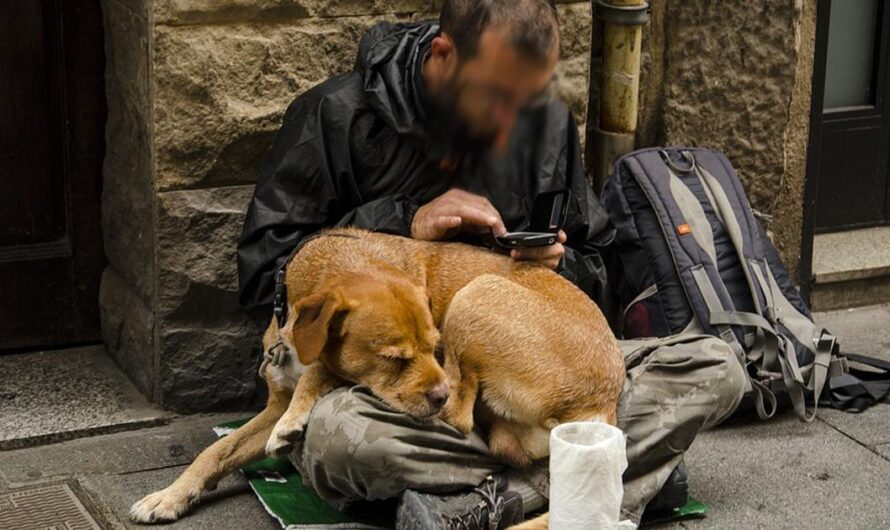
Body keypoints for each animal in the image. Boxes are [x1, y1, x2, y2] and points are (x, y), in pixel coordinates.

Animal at [128, 226, 620, 524]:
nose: (437, 393)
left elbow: (321, 372)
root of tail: (601, 404)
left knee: (461, 418)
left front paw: (297, 419)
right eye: (395, 358)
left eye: (435, 347)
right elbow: (216, 452)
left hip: (475, 295)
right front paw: (170, 496)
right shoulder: (272, 404)